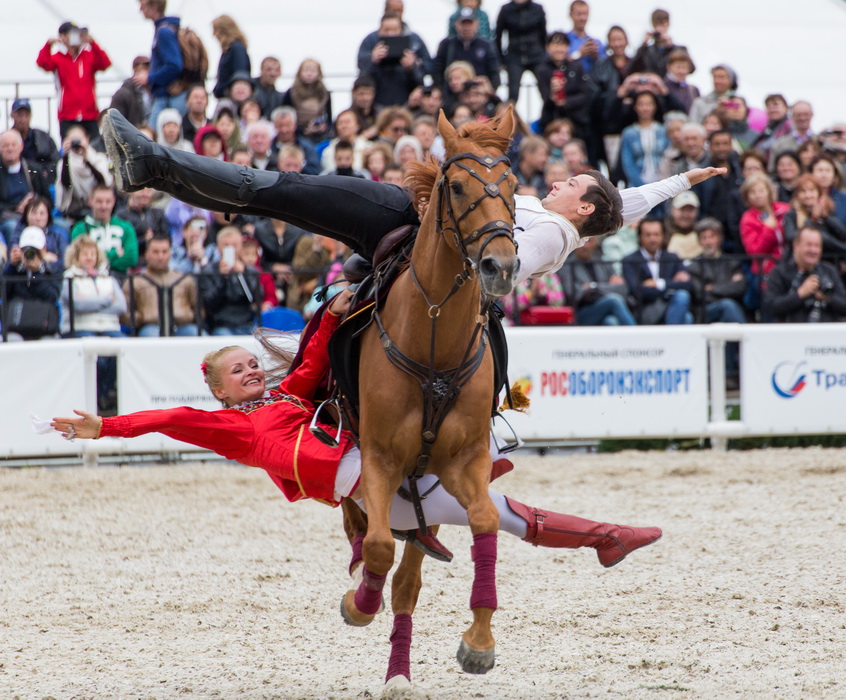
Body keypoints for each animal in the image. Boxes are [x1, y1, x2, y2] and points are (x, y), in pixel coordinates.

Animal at [342, 109, 520, 684]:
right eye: (457, 185)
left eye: (513, 184)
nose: (500, 265)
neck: (434, 338)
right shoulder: (377, 457)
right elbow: (377, 546)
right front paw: (359, 604)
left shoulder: (463, 463)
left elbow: (486, 522)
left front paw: (479, 642)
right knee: (365, 534)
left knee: (409, 577)